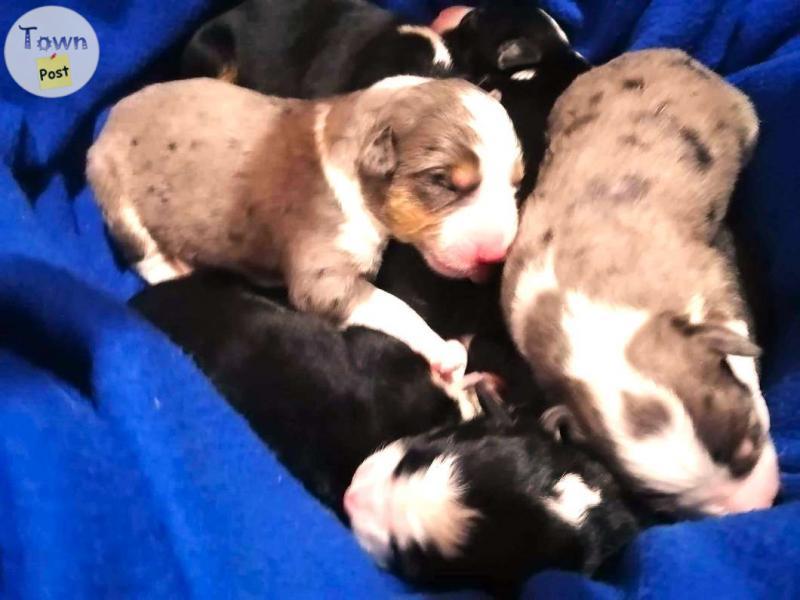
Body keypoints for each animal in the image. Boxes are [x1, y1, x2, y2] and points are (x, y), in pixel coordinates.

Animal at [89, 76, 524, 380]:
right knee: (145, 255)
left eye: (517, 183)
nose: (496, 254)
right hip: (118, 197)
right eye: (444, 182)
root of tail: (105, 126)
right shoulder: (323, 276)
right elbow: (392, 306)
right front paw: (443, 350)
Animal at [504, 48, 780, 516]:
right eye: (665, 506)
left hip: (744, 114)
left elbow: (736, 338)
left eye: (750, 438)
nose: (755, 504)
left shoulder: (710, 281)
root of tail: (662, 52)